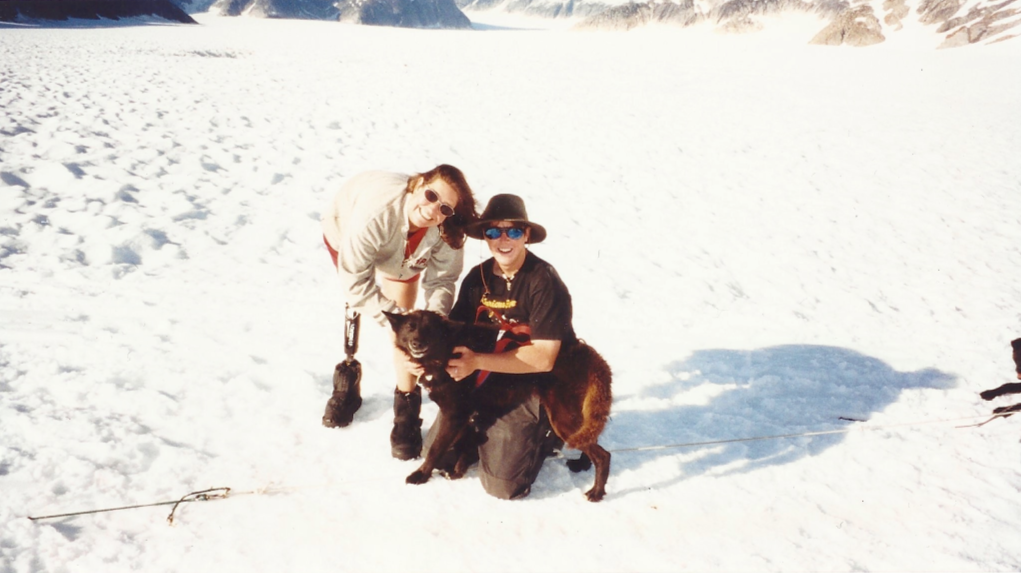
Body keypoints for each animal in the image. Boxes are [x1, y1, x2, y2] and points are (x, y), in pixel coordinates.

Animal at [383, 308, 608, 500]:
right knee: (593, 441)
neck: (449, 349)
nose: (417, 343)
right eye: (410, 327)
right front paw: (457, 471)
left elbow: (435, 449)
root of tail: (588, 353)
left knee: (603, 455)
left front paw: (421, 475)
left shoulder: (454, 414)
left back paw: (596, 492)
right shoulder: (465, 415)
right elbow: (463, 444)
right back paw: (582, 465)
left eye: (429, 329)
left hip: (562, 418)